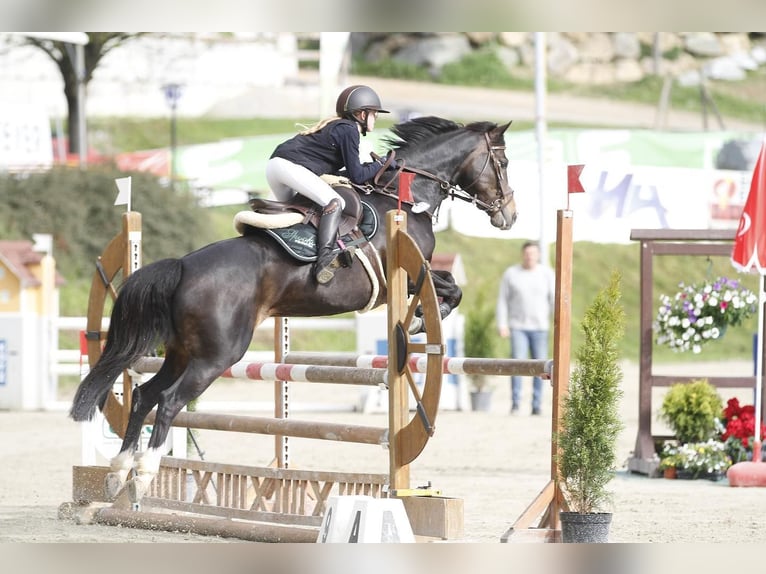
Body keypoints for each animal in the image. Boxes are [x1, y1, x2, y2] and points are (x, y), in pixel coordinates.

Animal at [72, 115, 520, 502]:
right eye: (502, 162)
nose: (509, 215)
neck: (405, 199)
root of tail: (183, 266)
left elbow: (450, 287)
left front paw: (423, 321)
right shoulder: (410, 275)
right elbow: (450, 288)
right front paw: (424, 321)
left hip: (182, 351)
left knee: (144, 395)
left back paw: (117, 473)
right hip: (216, 355)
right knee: (167, 402)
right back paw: (142, 476)